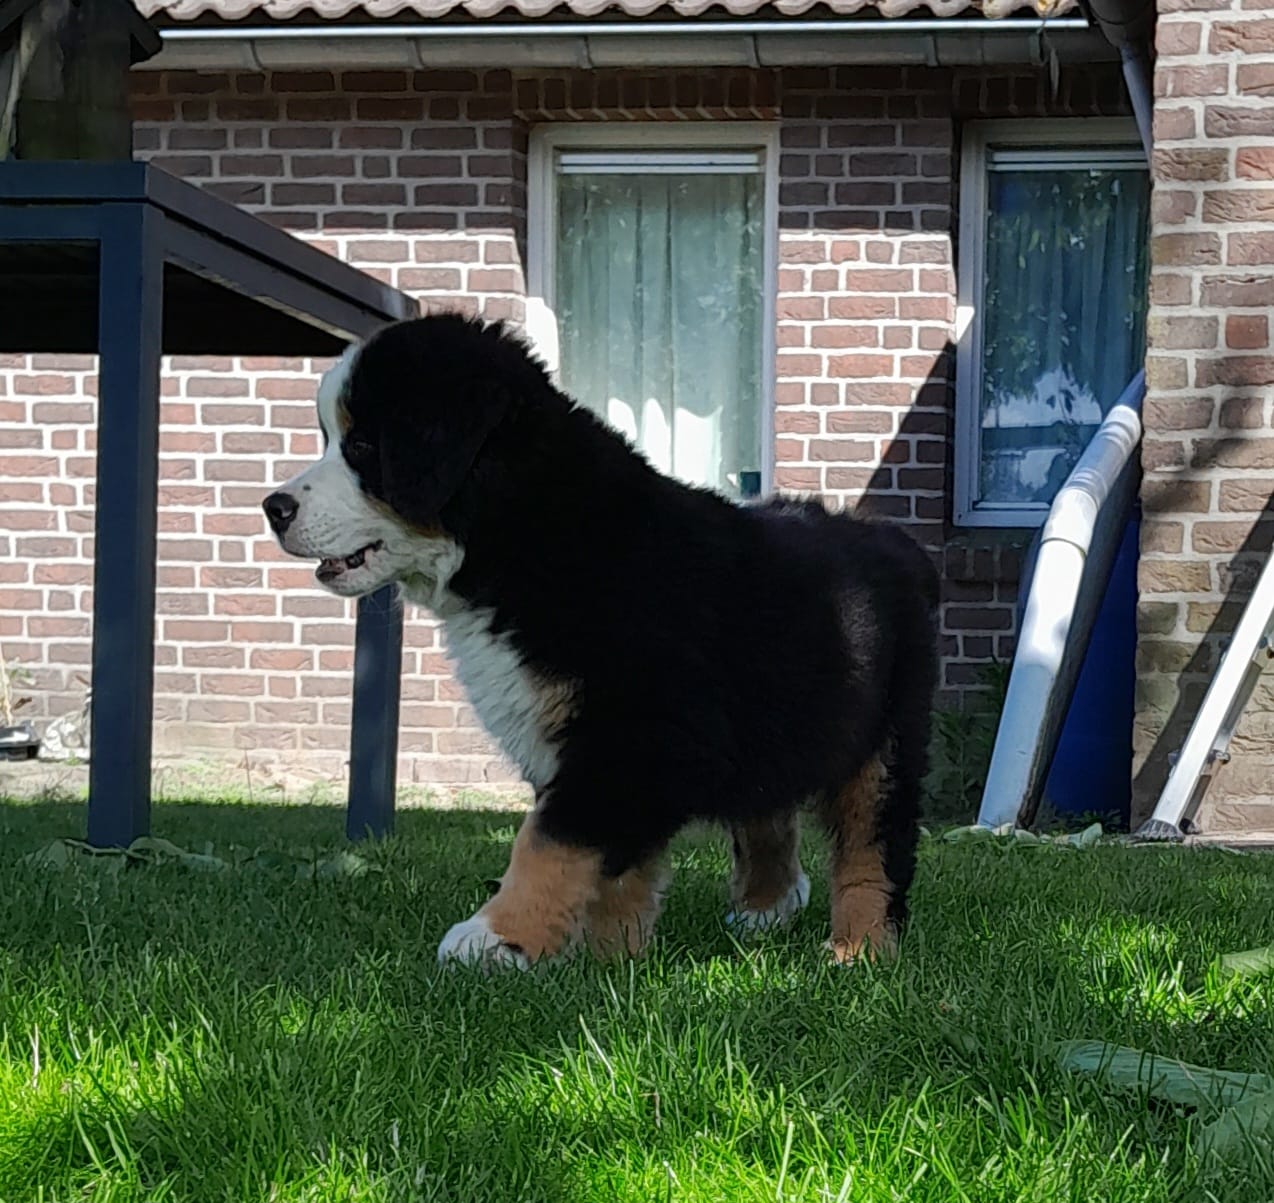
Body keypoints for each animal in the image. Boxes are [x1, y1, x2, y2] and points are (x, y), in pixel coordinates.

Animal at [261, 309, 937, 968]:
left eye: (362, 446)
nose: (274, 507)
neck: (535, 540)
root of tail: (890, 540)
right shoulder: (621, 751)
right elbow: (617, 864)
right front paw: (611, 955)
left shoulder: (629, 737)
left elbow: (548, 841)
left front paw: (496, 936)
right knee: (767, 808)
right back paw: (767, 909)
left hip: (885, 739)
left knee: (874, 843)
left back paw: (859, 946)